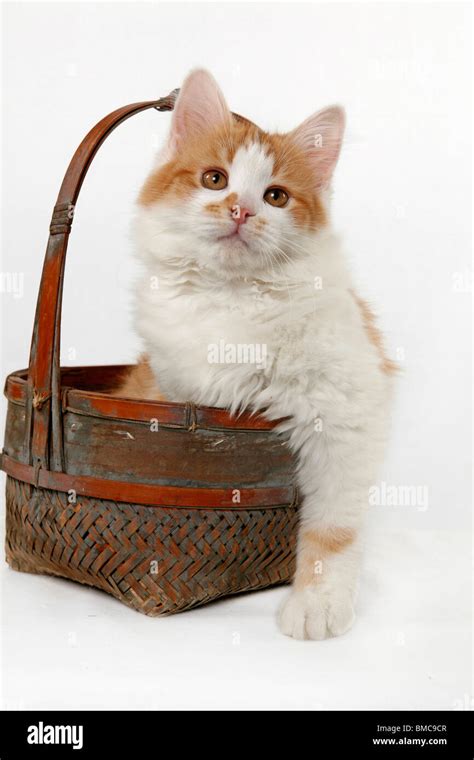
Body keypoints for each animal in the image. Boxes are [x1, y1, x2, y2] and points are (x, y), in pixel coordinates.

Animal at [119, 68, 396, 640]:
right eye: (214, 180)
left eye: (276, 196)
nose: (241, 210)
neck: (233, 298)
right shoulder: (170, 385)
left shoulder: (348, 414)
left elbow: (332, 528)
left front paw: (317, 604)